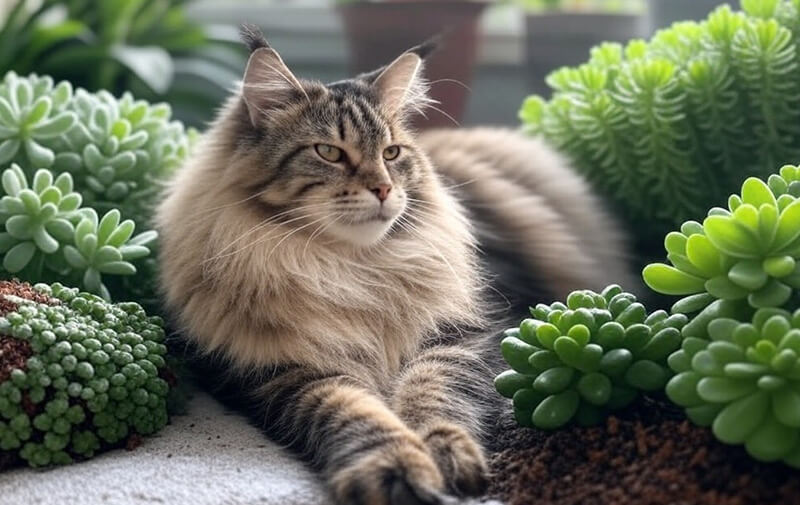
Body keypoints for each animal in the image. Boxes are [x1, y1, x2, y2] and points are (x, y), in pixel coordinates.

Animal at [156, 25, 632, 502]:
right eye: (329, 152)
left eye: (391, 154)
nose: (384, 190)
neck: (346, 269)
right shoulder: (284, 372)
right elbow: (356, 413)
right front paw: (398, 470)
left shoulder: (468, 334)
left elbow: (432, 392)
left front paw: (447, 455)